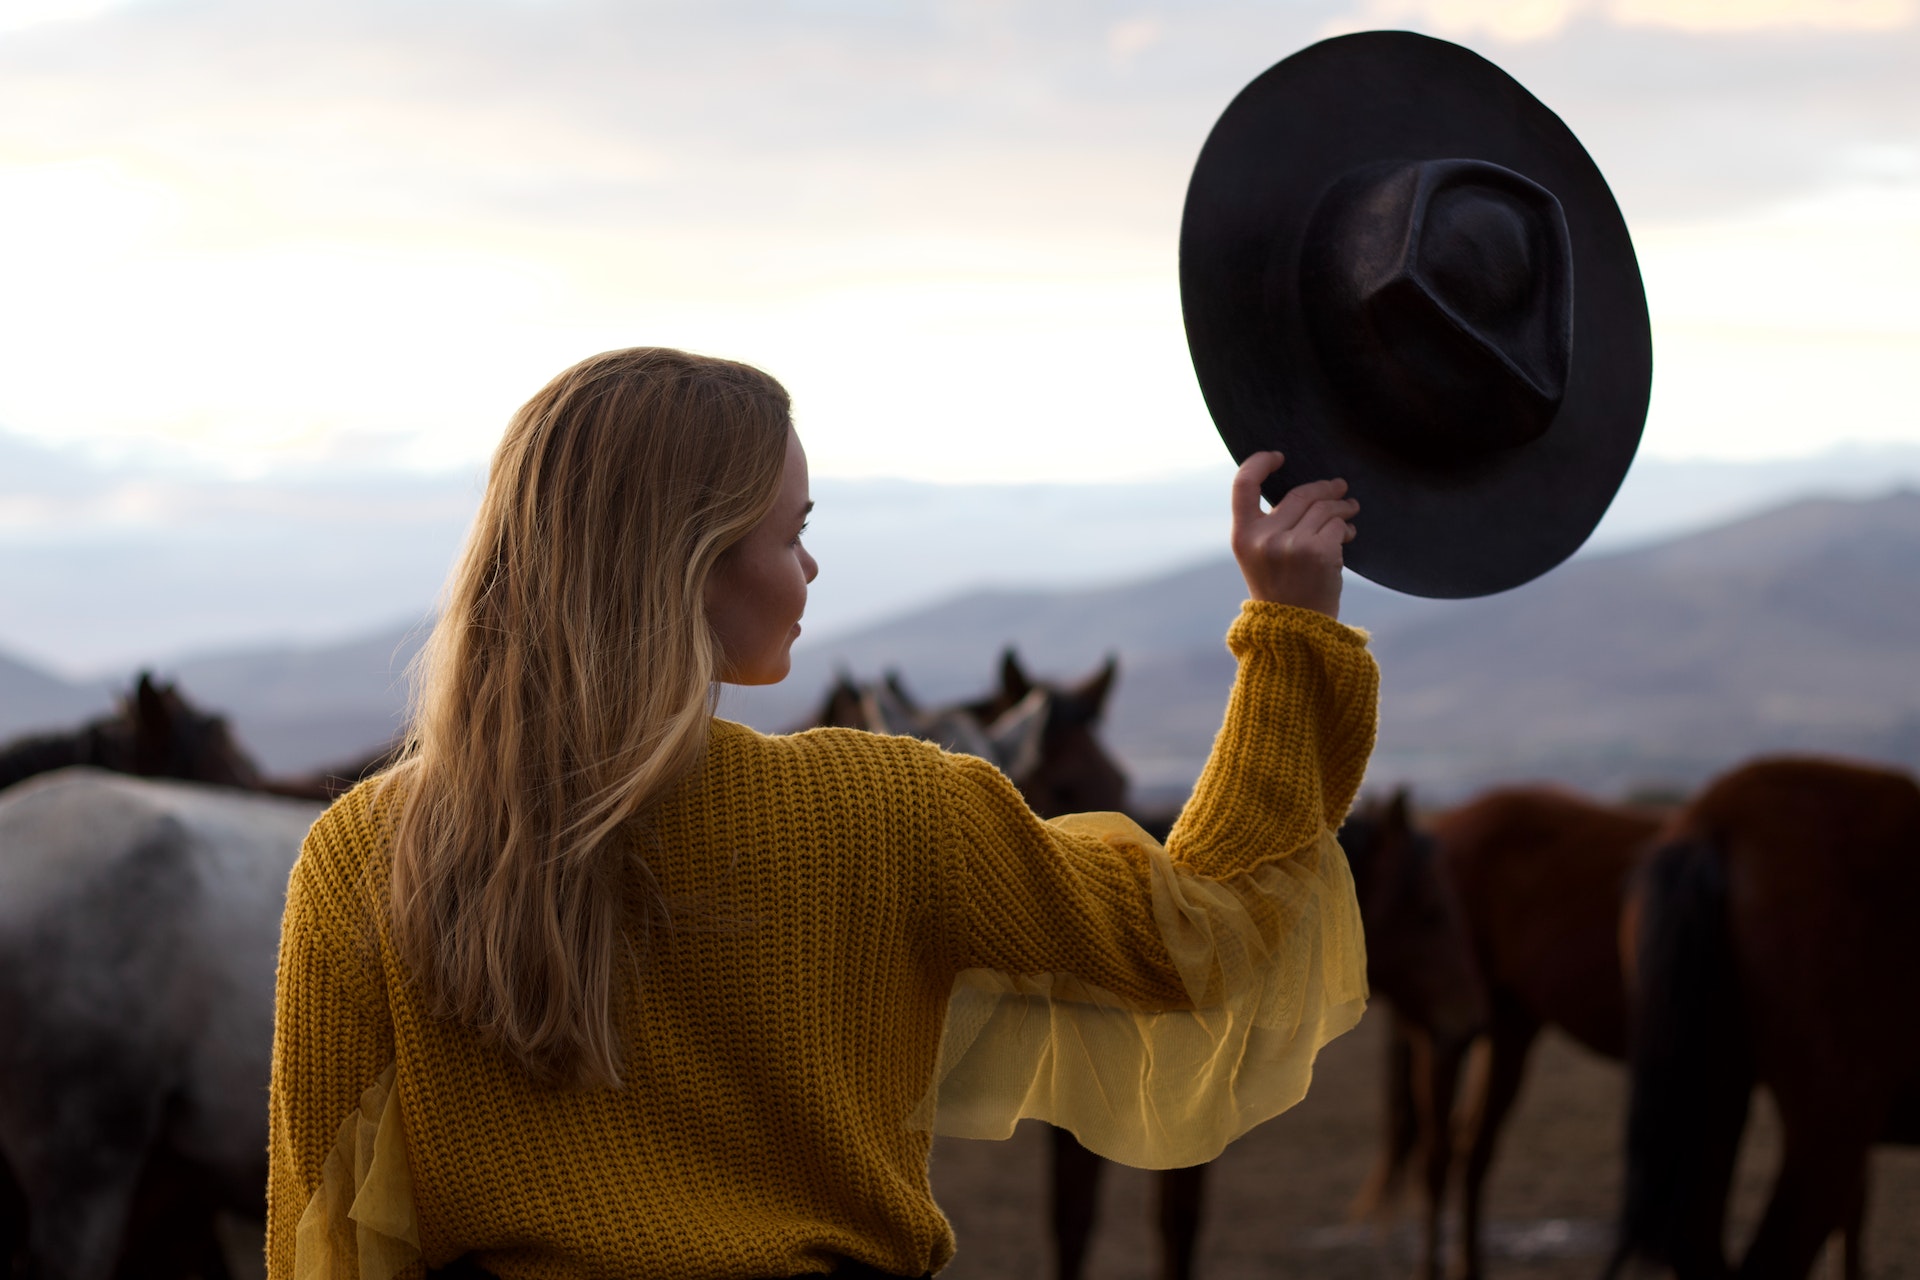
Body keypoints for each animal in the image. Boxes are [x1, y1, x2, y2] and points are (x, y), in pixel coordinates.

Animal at [1351, 786, 1666, 1274]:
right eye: (1430, 913)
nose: (1468, 1014)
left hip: (1506, 1029)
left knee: (1471, 1149)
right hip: (1454, 1040)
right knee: (1439, 1154)